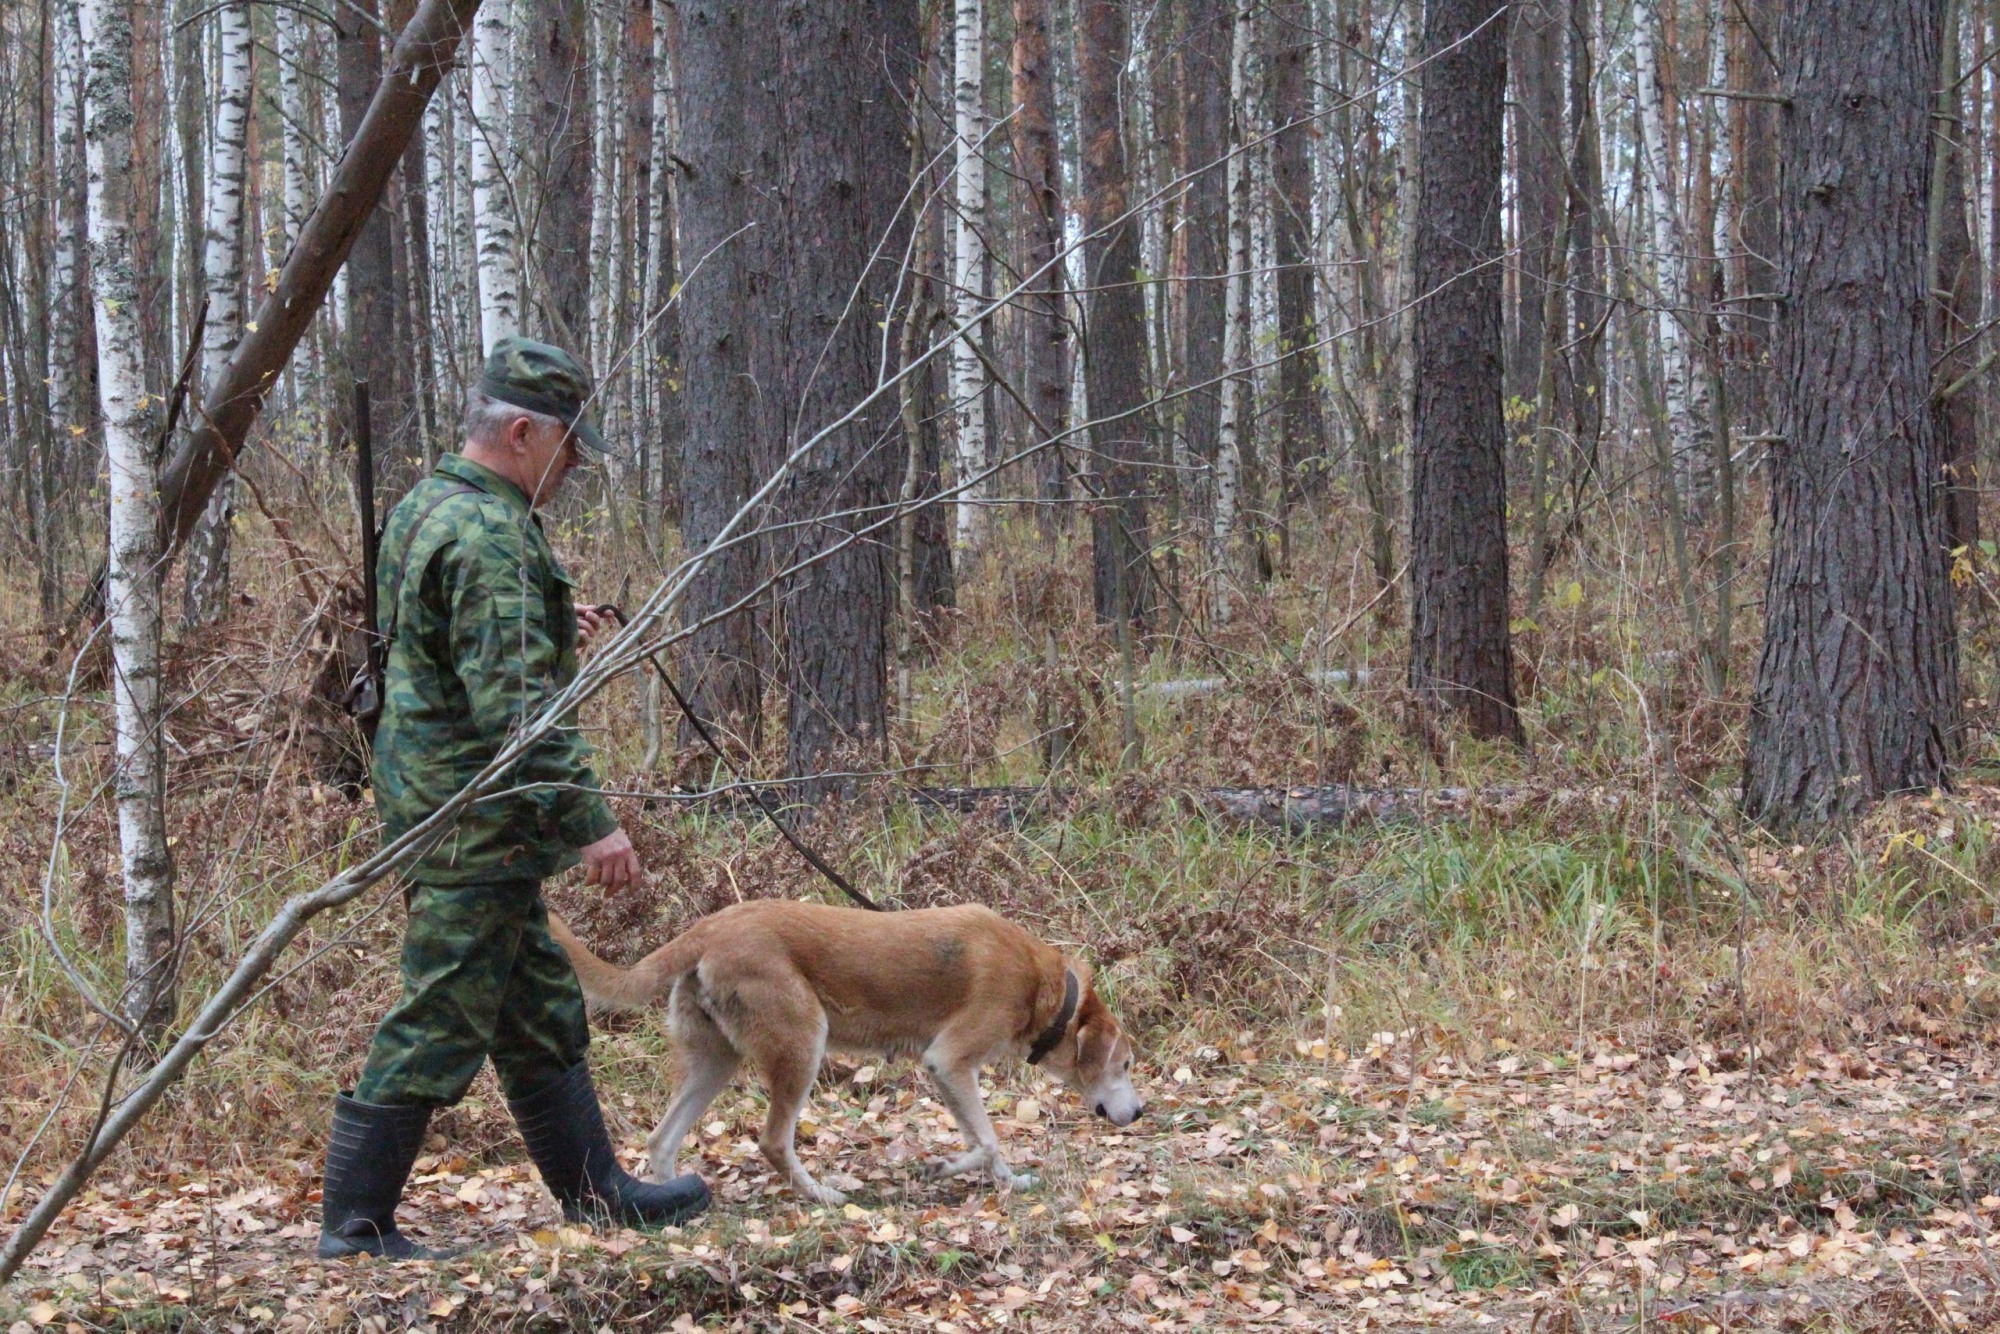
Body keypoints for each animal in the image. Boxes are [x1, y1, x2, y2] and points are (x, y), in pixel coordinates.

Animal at [548, 904, 1144, 1208]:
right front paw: (946, 1167)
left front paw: (1008, 1182)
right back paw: (824, 1196)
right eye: (1125, 1064)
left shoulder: (952, 1074)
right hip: (802, 1046)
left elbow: (985, 1142)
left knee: (661, 1139)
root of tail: (706, 928)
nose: (1139, 1113)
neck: (1046, 989)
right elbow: (990, 1138)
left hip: (715, 1063)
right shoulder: (949, 1061)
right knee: (772, 1141)